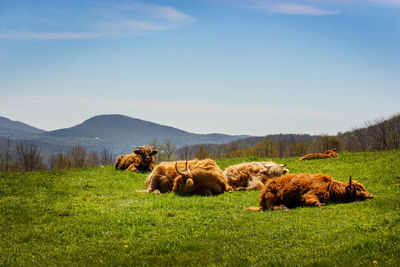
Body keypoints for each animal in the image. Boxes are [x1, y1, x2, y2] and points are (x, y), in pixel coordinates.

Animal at [245, 175, 374, 213]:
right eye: (359, 189)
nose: (371, 195)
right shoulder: (311, 194)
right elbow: (315, 201)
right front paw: (321, 204)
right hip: (272, 198)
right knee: (272, 207)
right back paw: (284, 207)